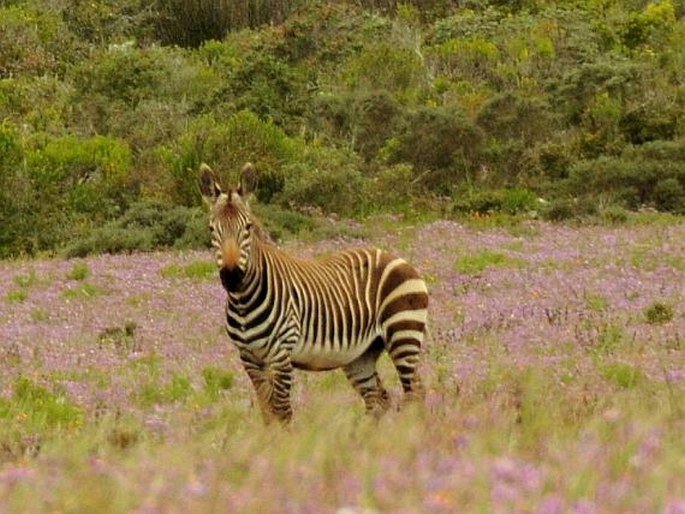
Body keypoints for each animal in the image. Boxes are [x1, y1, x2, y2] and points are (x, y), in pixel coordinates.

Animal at [198, 163, 428, 420]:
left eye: (247, 227)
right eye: (211, 229)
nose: (232, 277)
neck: (243, 302)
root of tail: (397, 258)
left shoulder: (281, 353)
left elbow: (282, 411)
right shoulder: (249, 358)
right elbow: (267, 412)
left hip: (403, 334)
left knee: (415, 392)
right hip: (361, 353)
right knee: (378, 399)